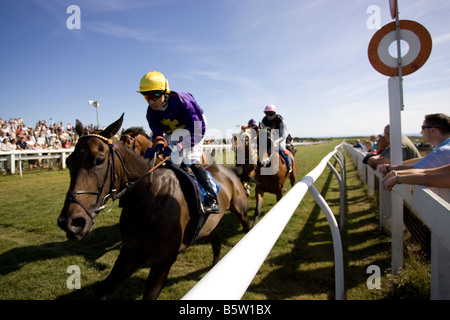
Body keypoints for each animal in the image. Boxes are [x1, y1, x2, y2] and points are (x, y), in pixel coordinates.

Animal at [57, 114, 250, 298]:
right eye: (69, 161)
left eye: (99, 160)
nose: (71, 222)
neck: (148, 197)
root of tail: (229, 170)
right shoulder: (132, 252)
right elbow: (103, 288)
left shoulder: (164, 258)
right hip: (207, 227)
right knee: (216, 244)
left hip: (240, 211)